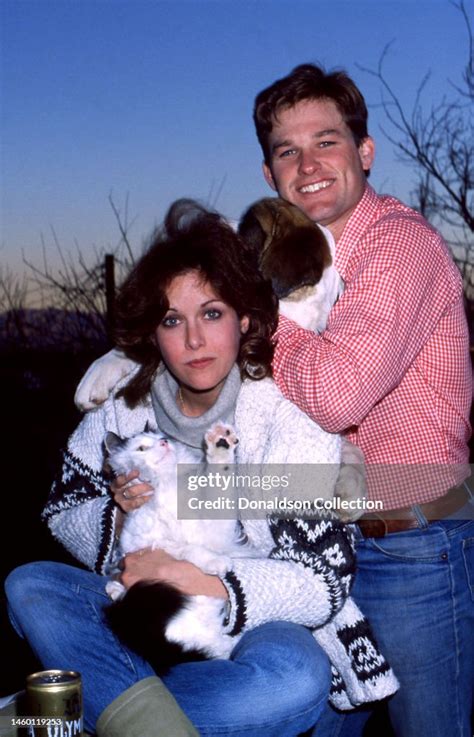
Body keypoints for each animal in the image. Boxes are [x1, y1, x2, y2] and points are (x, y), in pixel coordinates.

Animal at [104, 420, 252, 668]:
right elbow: (187, 549)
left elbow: (220, 475)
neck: (168, 487)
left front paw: (220, 441)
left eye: (160, 437)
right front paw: (217, 562)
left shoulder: (215, 526)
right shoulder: (153, 543)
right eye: (141, 448)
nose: (164, 442)